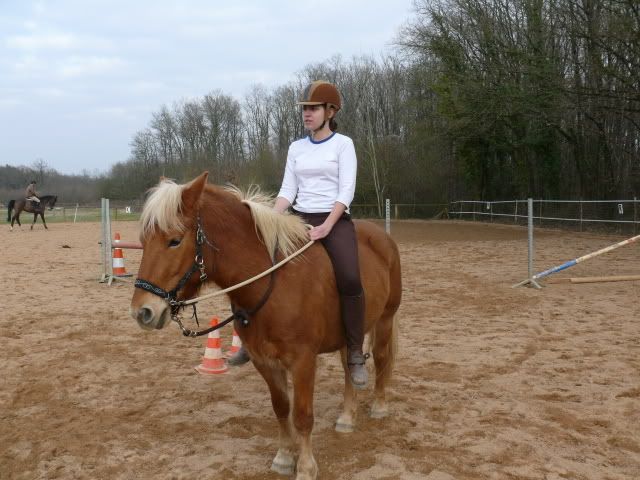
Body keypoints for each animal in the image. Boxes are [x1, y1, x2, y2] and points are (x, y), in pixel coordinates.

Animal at [129, 172, 402, 480]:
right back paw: (346, 417)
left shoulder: (303, 361)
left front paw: (305, 467)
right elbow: (281, 408)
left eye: (174, 241)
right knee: (349, 366)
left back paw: (379, 406)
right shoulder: (264, 361)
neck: (275, 284)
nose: (143, 312)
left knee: (381, 359)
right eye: (144, 240)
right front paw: (283, 458)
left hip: (385, 319)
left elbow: (303, 415)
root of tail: (381, 237)